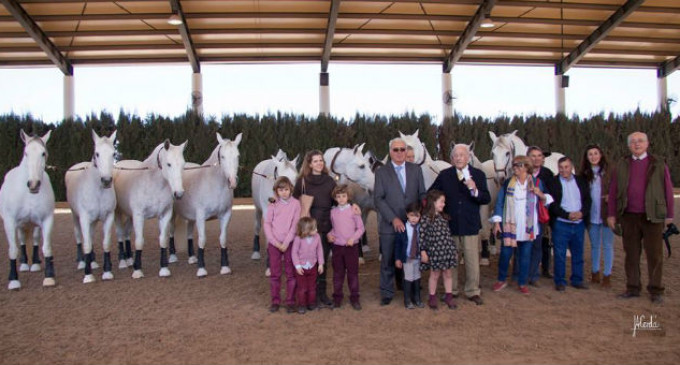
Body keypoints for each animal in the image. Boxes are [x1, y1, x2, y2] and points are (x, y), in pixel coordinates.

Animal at [0, 129, 55, 288]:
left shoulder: (47, 219)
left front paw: (49, 277)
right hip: (20, 224)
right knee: (22, 240)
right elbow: (13, 250)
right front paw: (13, 280)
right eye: (26, 153)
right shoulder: (10, 222)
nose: (34, 184)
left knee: (35, 240)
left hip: (33, 224)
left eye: (43, 153)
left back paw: (35, 263)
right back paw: (24, 264)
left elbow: (46, 247)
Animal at [64, 129, 117, 282]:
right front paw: (88, 275)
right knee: (79, 237)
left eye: (113, 153)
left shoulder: (109, 217)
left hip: (93, 221)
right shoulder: (84, 218)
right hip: (75, 216)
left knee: (91, 236)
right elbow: (86, 244)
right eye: (97, 153)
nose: (106, 181)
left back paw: (92, 262)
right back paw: (82, 262)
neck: (98, 190)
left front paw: (107, 272)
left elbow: (105, 243)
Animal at [113, 138, 186, 278]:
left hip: (130, 216)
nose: (179, 194)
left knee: (126, 233)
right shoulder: (139, 216)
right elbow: (139, 241)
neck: (153, 184)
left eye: (183, 165)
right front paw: (137, 271)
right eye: (168, 164)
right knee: (119, 234)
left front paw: (164, 269)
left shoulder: (165, 214)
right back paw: (123, 262)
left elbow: (163, 240)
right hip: (118, 213)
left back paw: (129, 260)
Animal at [174, 132, 243, 276]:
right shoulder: (201, 217)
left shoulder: (225, 215)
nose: (232, 181)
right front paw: (201, 269)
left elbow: (223, 239)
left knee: (189, 233)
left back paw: (192, 258)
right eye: (222, 156)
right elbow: (202, 240)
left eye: (237, 155)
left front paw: (225, 267)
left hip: (191, 218)